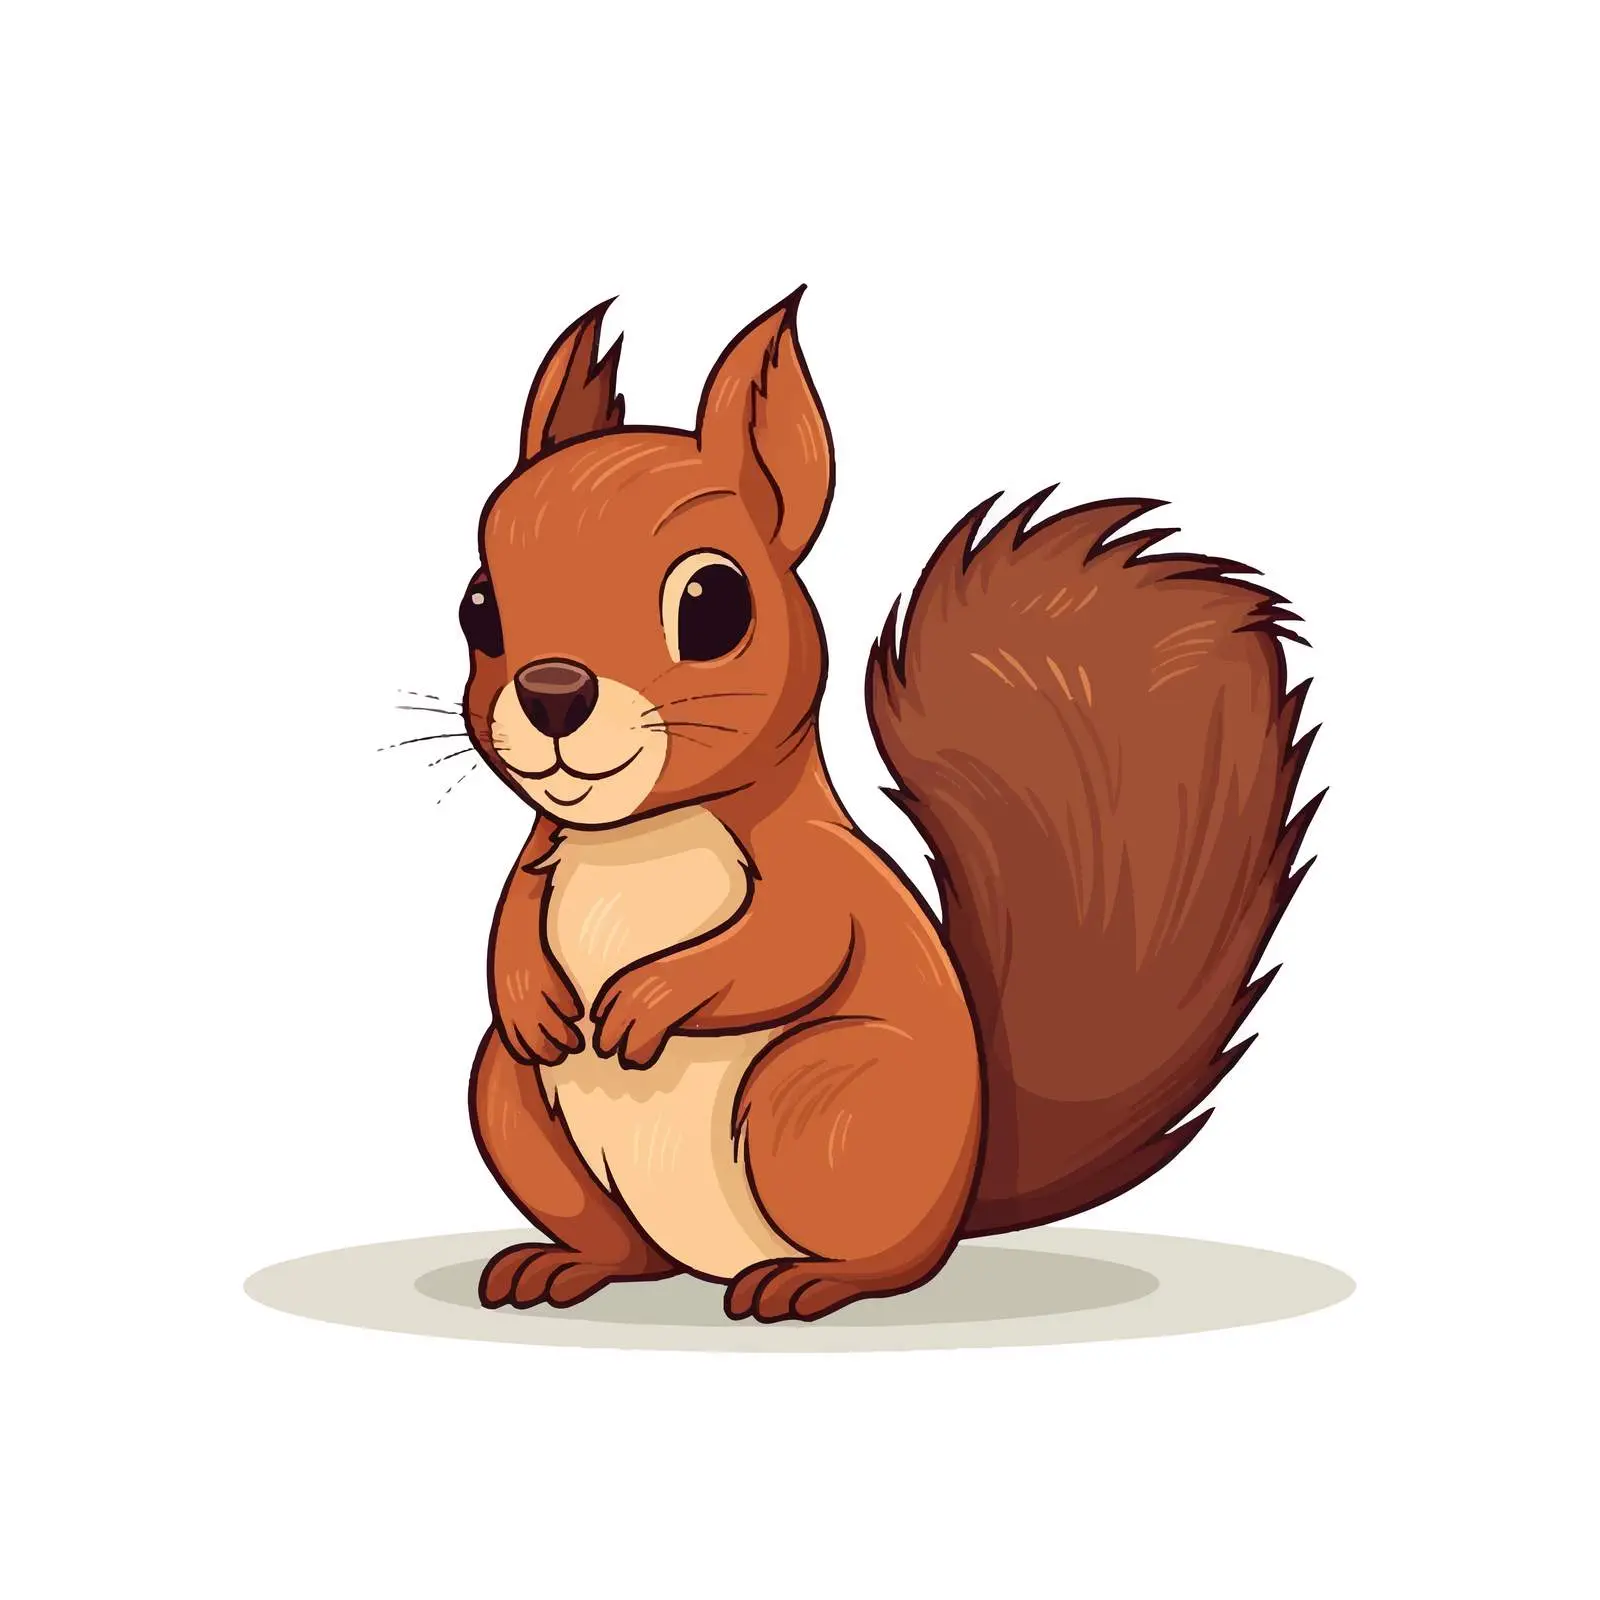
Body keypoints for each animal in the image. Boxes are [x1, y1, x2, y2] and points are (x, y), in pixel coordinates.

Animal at [459, 289, 1316, 1323]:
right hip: (508, 1099)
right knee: (622, 1242)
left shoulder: (820, 879)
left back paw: (808, 1282)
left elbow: (788, 948)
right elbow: (509, 922)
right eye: (478, 608)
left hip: (821, 1098)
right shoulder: (543, 854)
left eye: (713, 603)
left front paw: (644, 1002)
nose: (553, 693)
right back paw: (563, 1264)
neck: (638, 836)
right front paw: (535, 997)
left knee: (892, 1261)